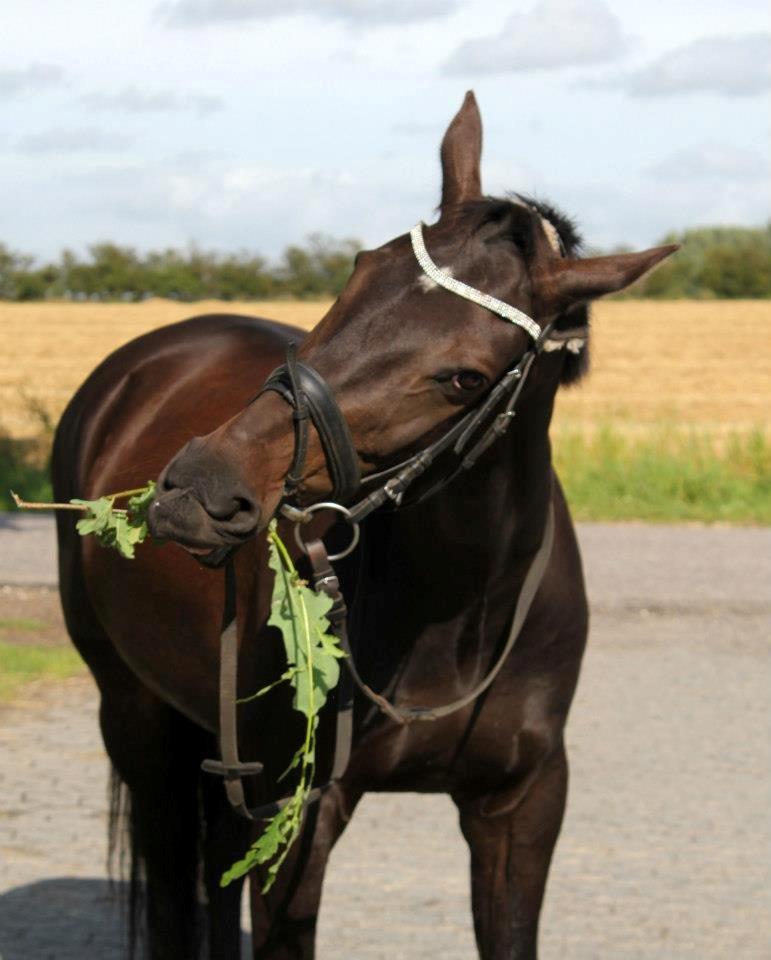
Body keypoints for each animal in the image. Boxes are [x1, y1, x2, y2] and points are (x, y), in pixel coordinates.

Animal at [52, 92, 676, 960]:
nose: (200, 487)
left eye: (465, 378)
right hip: (133, 715)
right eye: (360, 268)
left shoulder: (520, 807)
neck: (457, 612)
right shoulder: (294, 823)